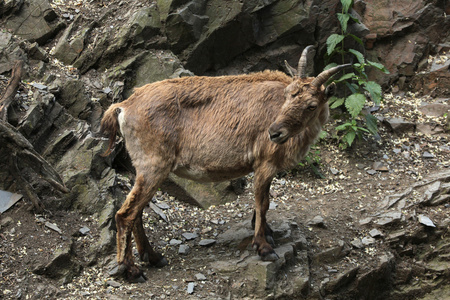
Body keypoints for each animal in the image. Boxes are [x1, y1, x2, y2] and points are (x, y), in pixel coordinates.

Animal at [101, 47, 348, 282]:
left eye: (311, 105)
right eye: (288, 95)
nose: (274, 133)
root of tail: (123, 107)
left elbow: (263, 203)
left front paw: (267, 232)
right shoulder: (265, 163)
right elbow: (262, 202)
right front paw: (264, 247)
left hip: (143, 169)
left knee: (137, 213)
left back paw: (153, 257)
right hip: (154, 166)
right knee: (125, 215)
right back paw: (132, 271)